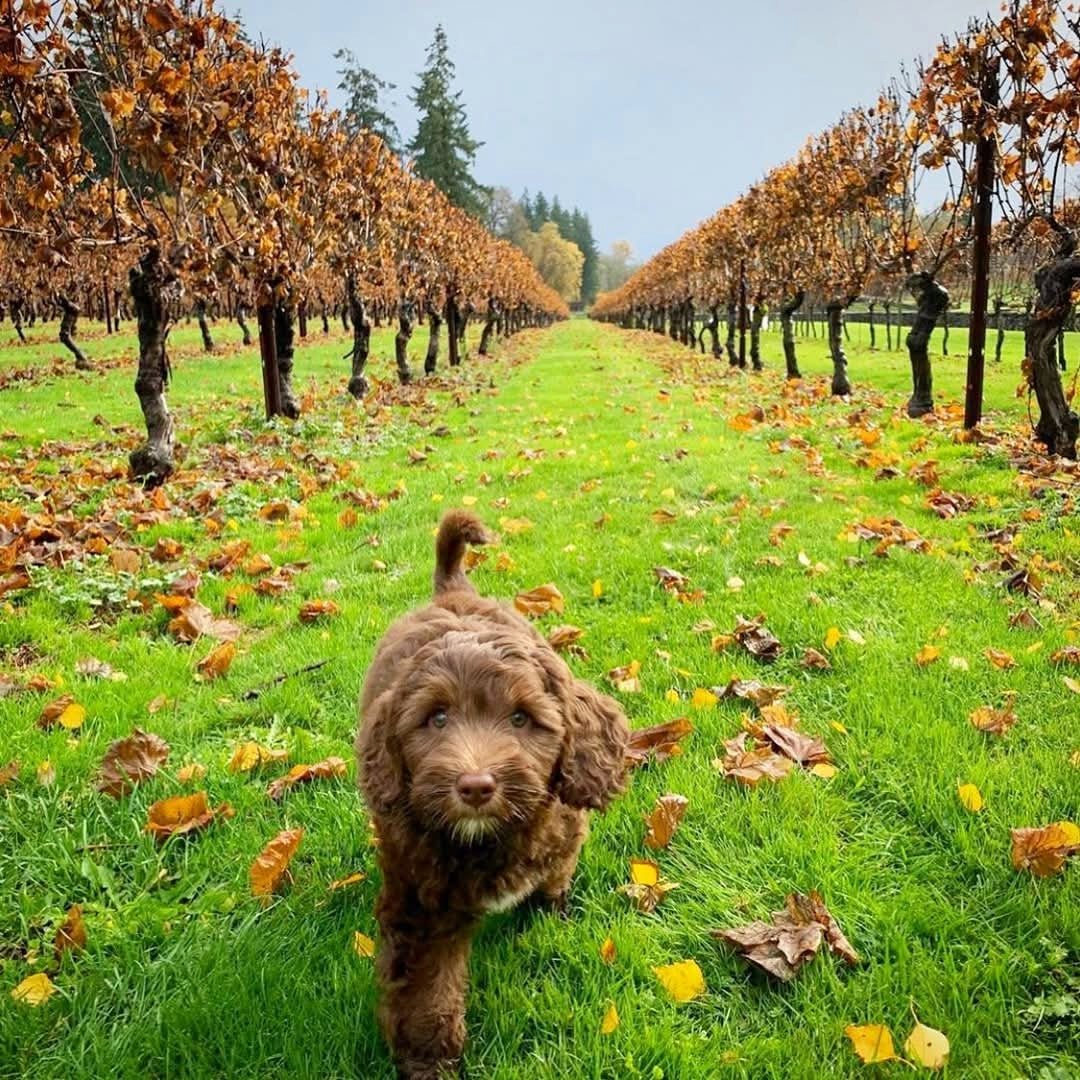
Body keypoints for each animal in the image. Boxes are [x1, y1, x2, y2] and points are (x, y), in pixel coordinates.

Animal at [356, 509, 626, 1075]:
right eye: (436, 719)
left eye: (521, 719)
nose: (476, 786)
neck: (489, 838)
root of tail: (452, 590)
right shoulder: (419, 907)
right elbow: (426, 994)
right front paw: (428, 1063)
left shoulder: (564, 827)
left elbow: (555, 876)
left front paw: (549, 910)